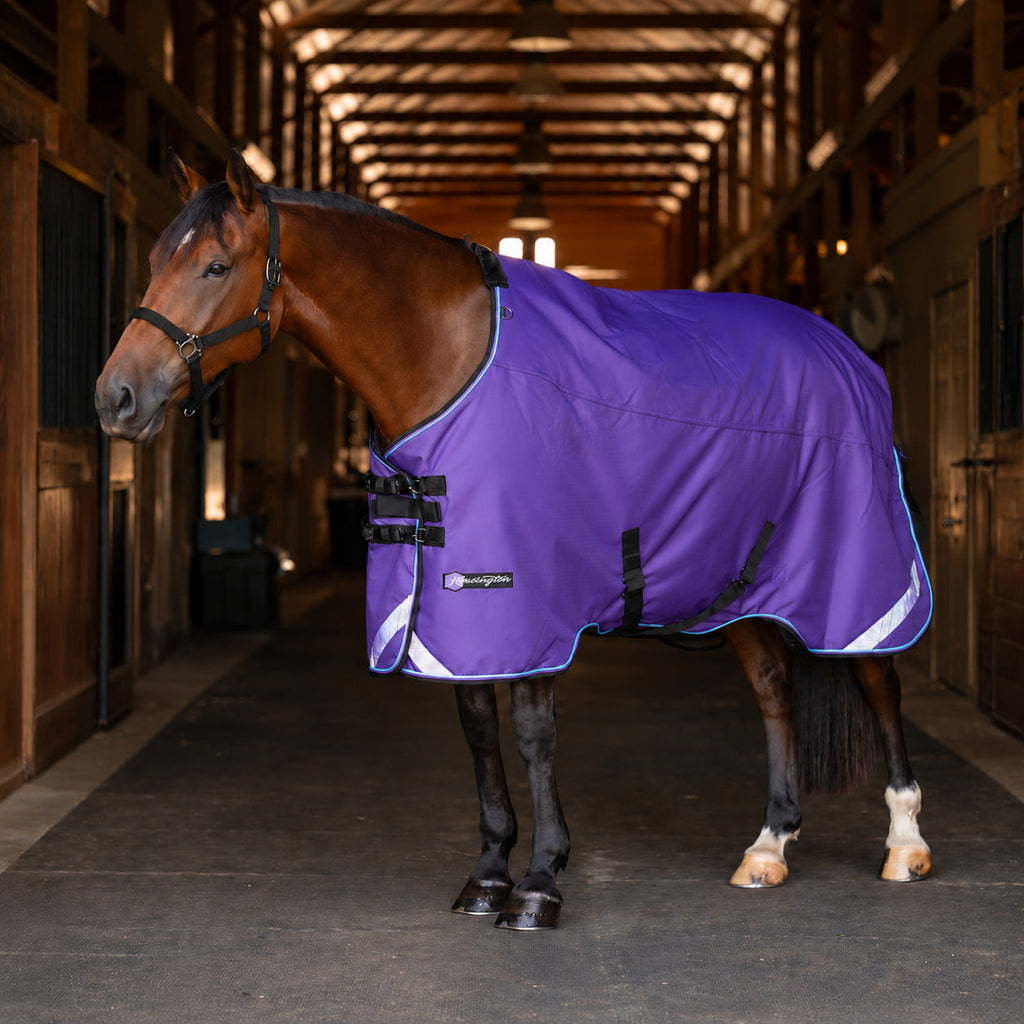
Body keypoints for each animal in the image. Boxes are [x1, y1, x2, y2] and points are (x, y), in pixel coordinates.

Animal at [95, 150, 932, 931]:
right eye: (152, 261)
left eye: (214, 265)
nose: (114, 398)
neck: (448, 354)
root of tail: (848, 355)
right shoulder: (455, 607)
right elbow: (477, 732)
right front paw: (489, 873)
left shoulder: (525, 597)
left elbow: (532, 734)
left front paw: (539, 884)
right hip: (748, 585)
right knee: (773, 689)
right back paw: (768, 847)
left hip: (860, 578)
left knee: (879, 680)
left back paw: (904, 843)